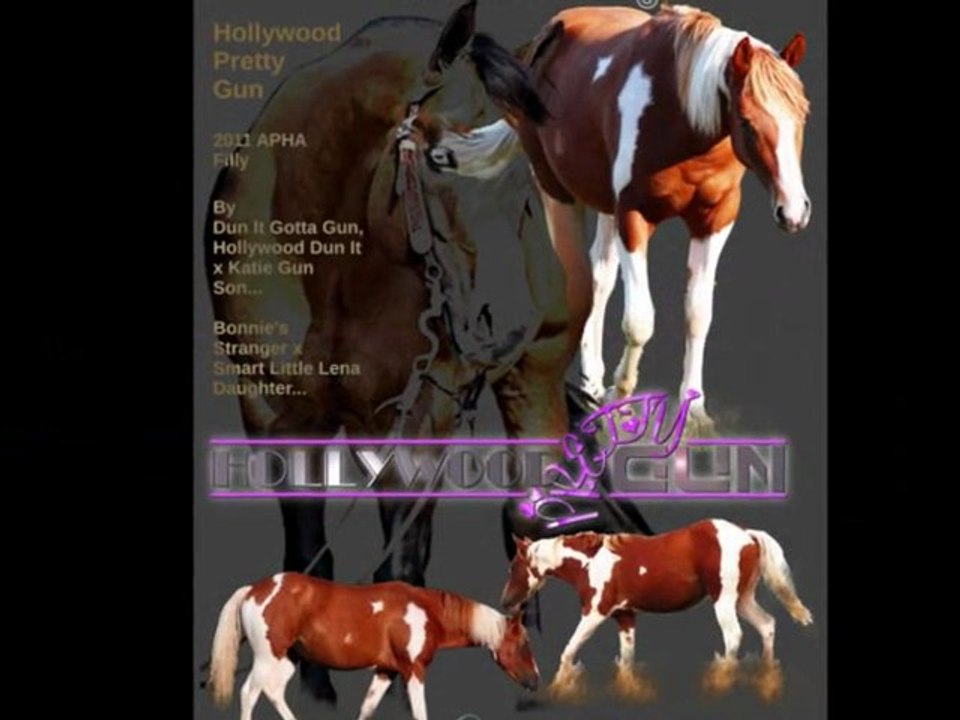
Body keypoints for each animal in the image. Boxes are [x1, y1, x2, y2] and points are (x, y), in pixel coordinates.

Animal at [204, 0, 650, 705]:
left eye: (530, 173)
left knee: (532, 514)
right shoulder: (272, 412)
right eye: (439, 157)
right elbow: (307, 547)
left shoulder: (420, 416)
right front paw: (313, 687)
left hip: (534, 374)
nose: (506, 321)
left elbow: (405, 562)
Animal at [208, 572, 538, 720]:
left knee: (271, 692)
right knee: (250, 693)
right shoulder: (413, 671)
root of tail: (255, 589)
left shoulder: (385, 671)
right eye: (524, 644)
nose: (535, 680)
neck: (426, 611)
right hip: (268, 657)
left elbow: (367, 709)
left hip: (286, 661)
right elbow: (420, 712)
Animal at [500, 521, 812, 702]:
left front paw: (558, 688)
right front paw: (629, 692)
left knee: (734, 636)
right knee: (767, 625)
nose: (505, 602)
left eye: (513, 567)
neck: (590, 562)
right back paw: (768, 680)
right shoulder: (625, 616)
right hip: (742, 599)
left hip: (724, 601)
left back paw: (719, 685)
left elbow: (568, 651)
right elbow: (626, 660)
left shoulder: (594, 613)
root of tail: (747, 535)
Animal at [509, 4, 812, 433]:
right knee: (578, 280)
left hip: (604, 205)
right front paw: (621, 399)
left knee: (599, 277)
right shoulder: (633, 218)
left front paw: (694, 408)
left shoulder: (715, 221)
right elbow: (639, 321)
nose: (794, 211)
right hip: (557, 192)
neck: (682, 116)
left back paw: (591, 381)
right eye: (748, 123)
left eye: (802, 115)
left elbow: (698, 313)